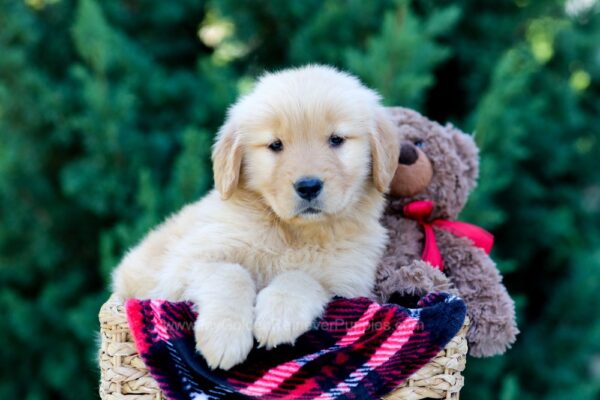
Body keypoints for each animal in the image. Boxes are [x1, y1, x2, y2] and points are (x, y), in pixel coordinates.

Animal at [113, 65, 398, 368]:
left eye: (336, 139)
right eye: (275, 145)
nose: (308, 186)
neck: (292, 232)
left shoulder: (348, 282)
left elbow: (302, 277)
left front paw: (278, 317)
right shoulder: (187, 265)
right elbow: (231, 274)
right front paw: (224, 337)